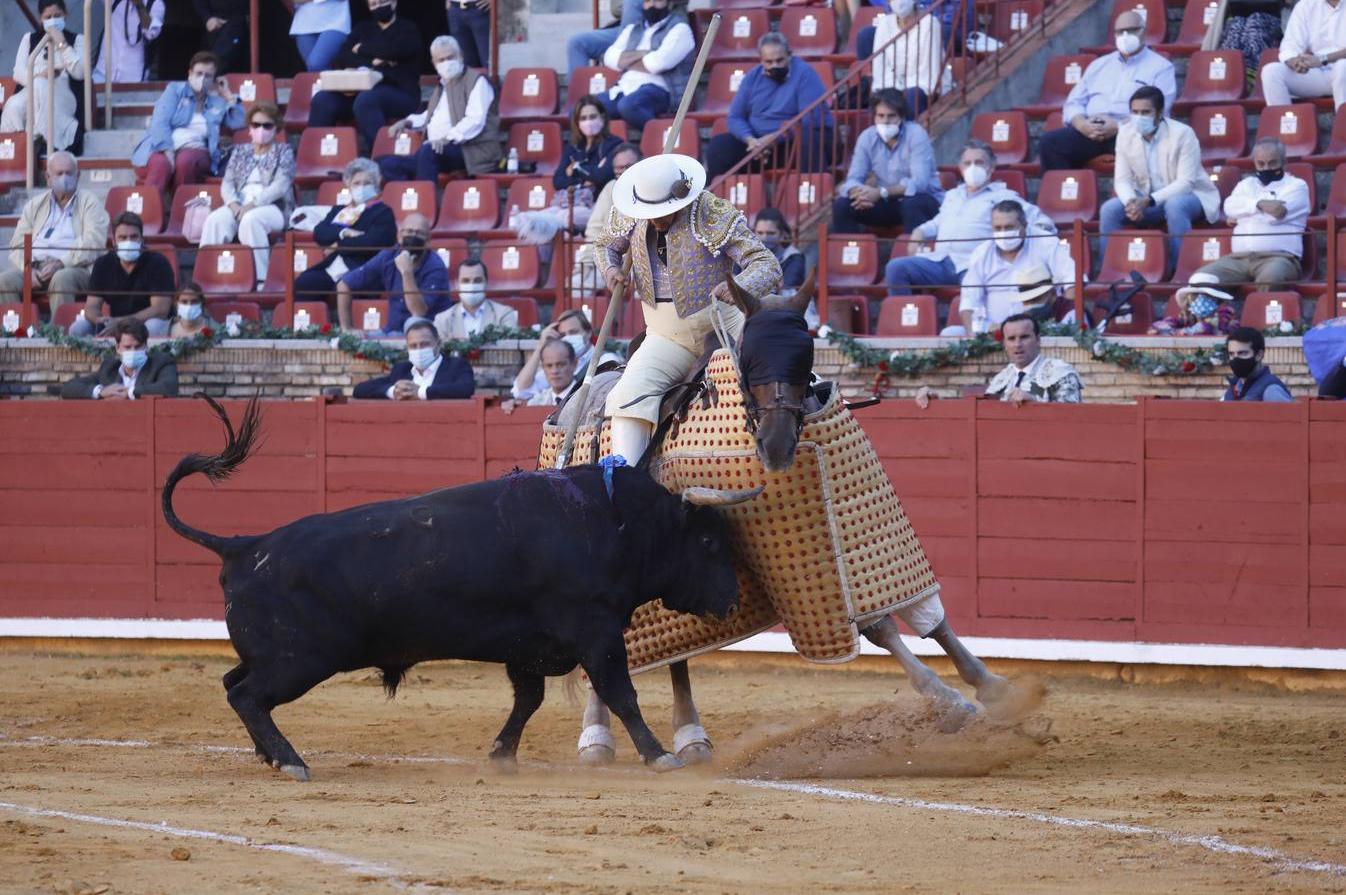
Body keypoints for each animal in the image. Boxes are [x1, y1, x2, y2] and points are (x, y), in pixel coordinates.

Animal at [160, 395, 759, 780]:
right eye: (710, 543)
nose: (730, 599)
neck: (613, 521)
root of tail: (243, 544)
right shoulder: (595, 632)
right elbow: (621, 694)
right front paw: (659, 756)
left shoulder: (529, 645)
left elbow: (528, 701)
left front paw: (501, 755)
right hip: (299, 660)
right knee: (246, 695)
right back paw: (291, 761)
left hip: (276, 656)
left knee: (234, 683)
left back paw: (270, 756)